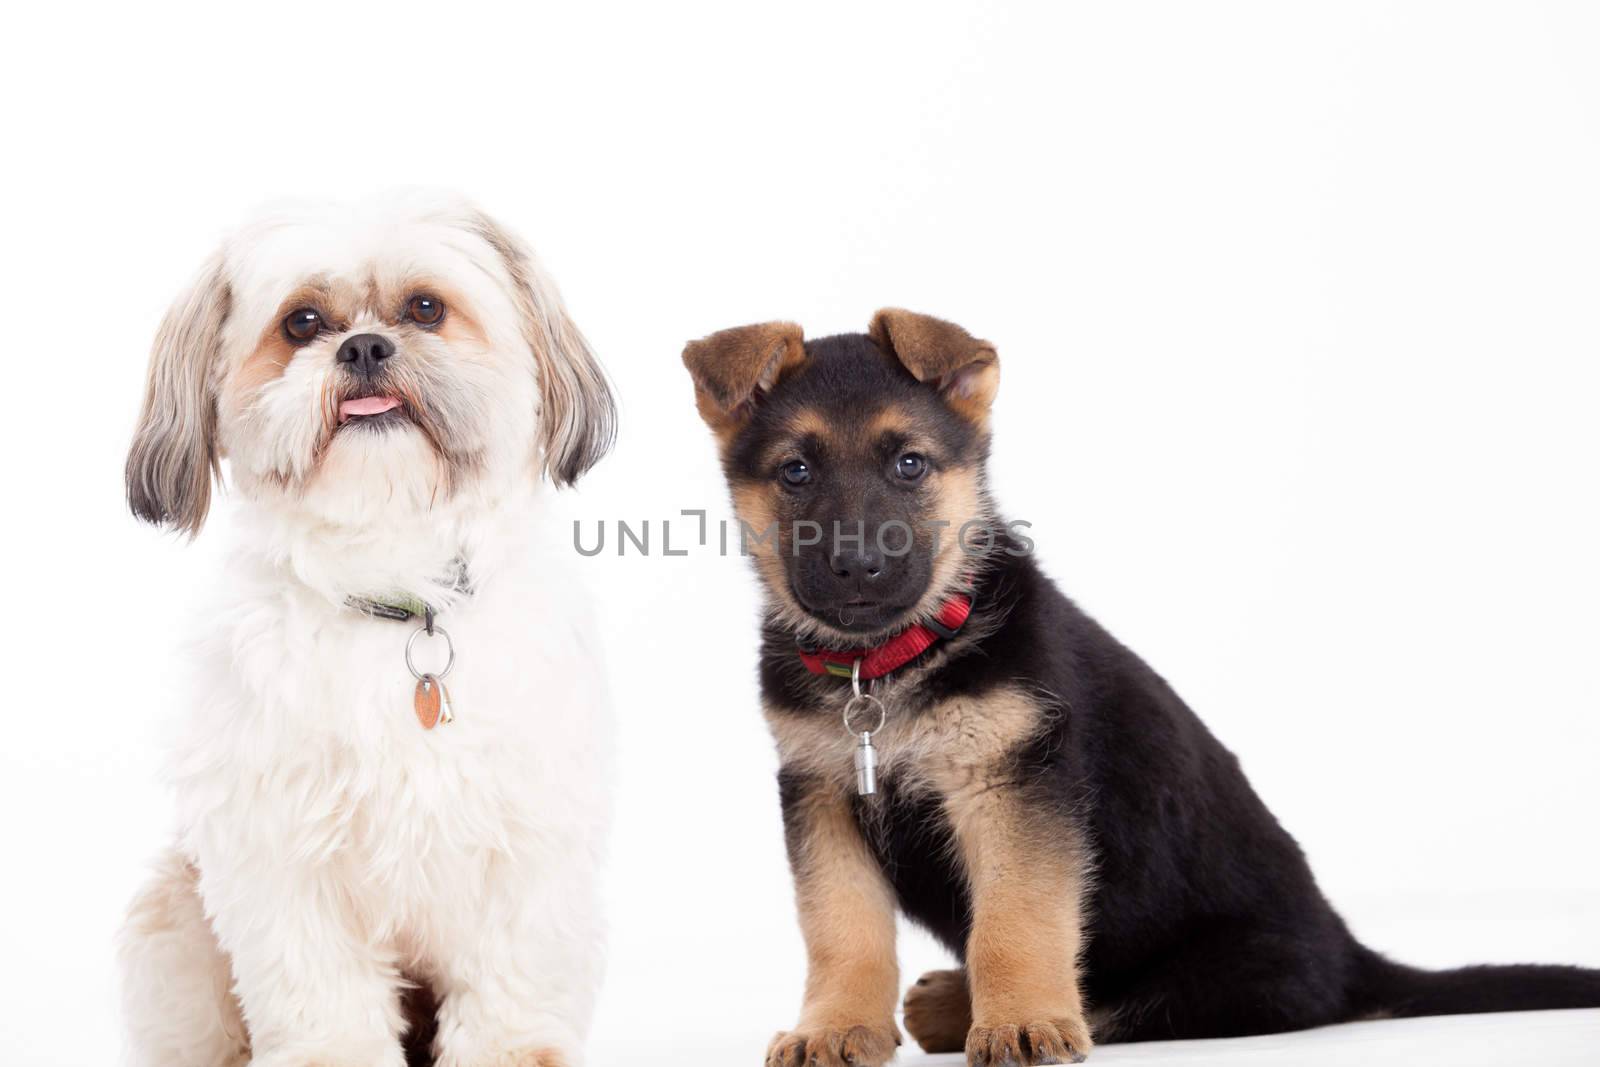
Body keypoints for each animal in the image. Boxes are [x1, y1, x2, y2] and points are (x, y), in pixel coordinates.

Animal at [116, 189, 617, 1067]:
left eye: (425, 308)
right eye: (302, 322)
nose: (364, 345)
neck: (395, 591)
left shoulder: (528, 842)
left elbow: (510, 974)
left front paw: (510, 1049)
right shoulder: (280, 855)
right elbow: (321, 992)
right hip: (174, 919)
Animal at [681, 310, 1600, 1067]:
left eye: (910, 463)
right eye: (796, 472)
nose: (859, 565)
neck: (891, 664)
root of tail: (1349, 955)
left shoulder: (1013, 784)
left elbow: (1016, 920)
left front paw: (1020, 1021)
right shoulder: (822, 792)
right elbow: (842, 929)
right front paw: (835, 1027)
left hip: (1225, 975)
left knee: (1124, 1001)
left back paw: (967, 1007)